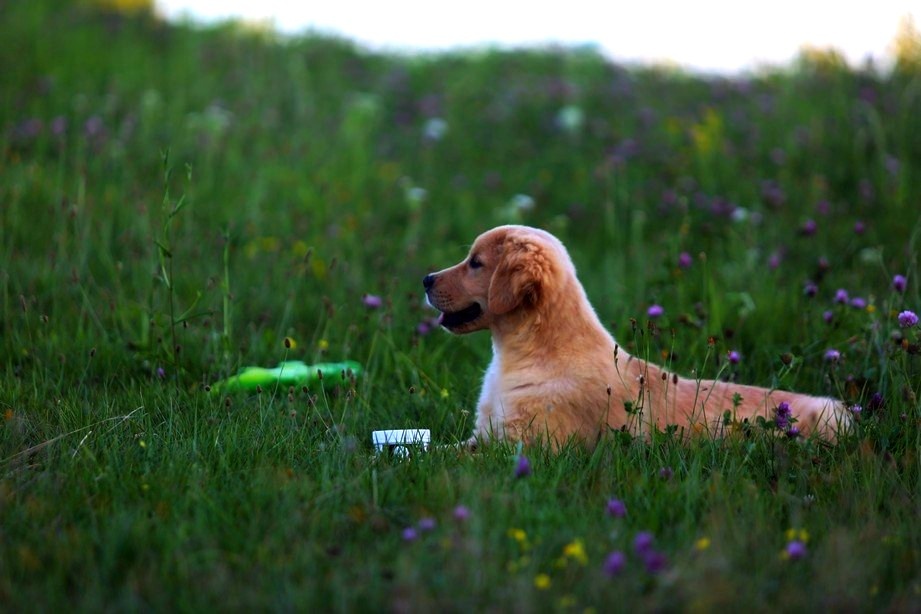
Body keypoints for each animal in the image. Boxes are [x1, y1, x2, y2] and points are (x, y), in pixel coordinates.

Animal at [424, 226, 848, 448]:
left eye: (476, 263)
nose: (425, 279)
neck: (529, 353)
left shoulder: (523, 448)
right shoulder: (484, 437)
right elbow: (436, 450)